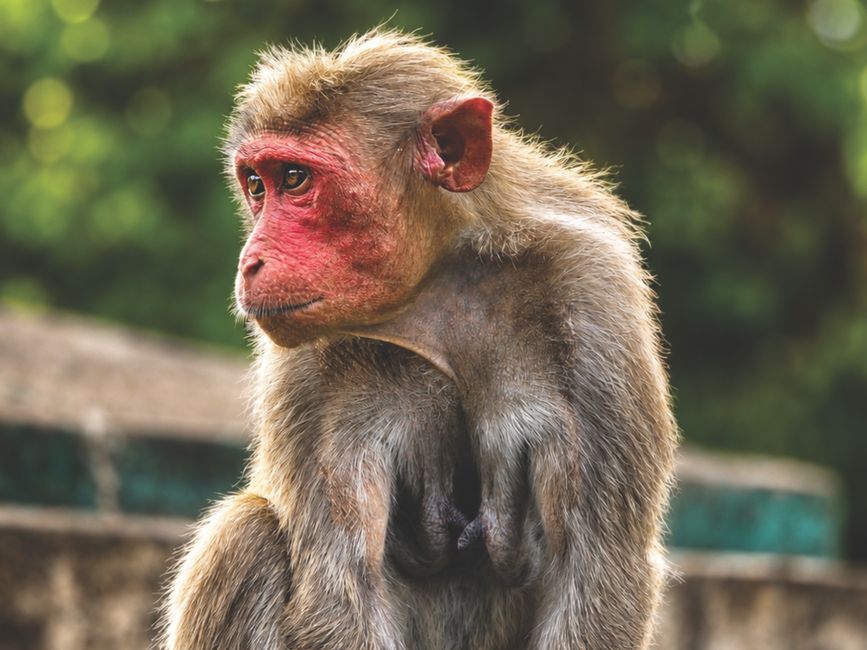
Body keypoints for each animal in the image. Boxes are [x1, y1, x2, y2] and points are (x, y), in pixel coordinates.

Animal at [160, 28, 677, 650]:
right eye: (256, 184)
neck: (436, 289)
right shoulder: (305, 364)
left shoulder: (594, 294)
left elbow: (596, 572)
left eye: (294, 179)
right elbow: (341, 587)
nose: (250, 261)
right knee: (250, 532)